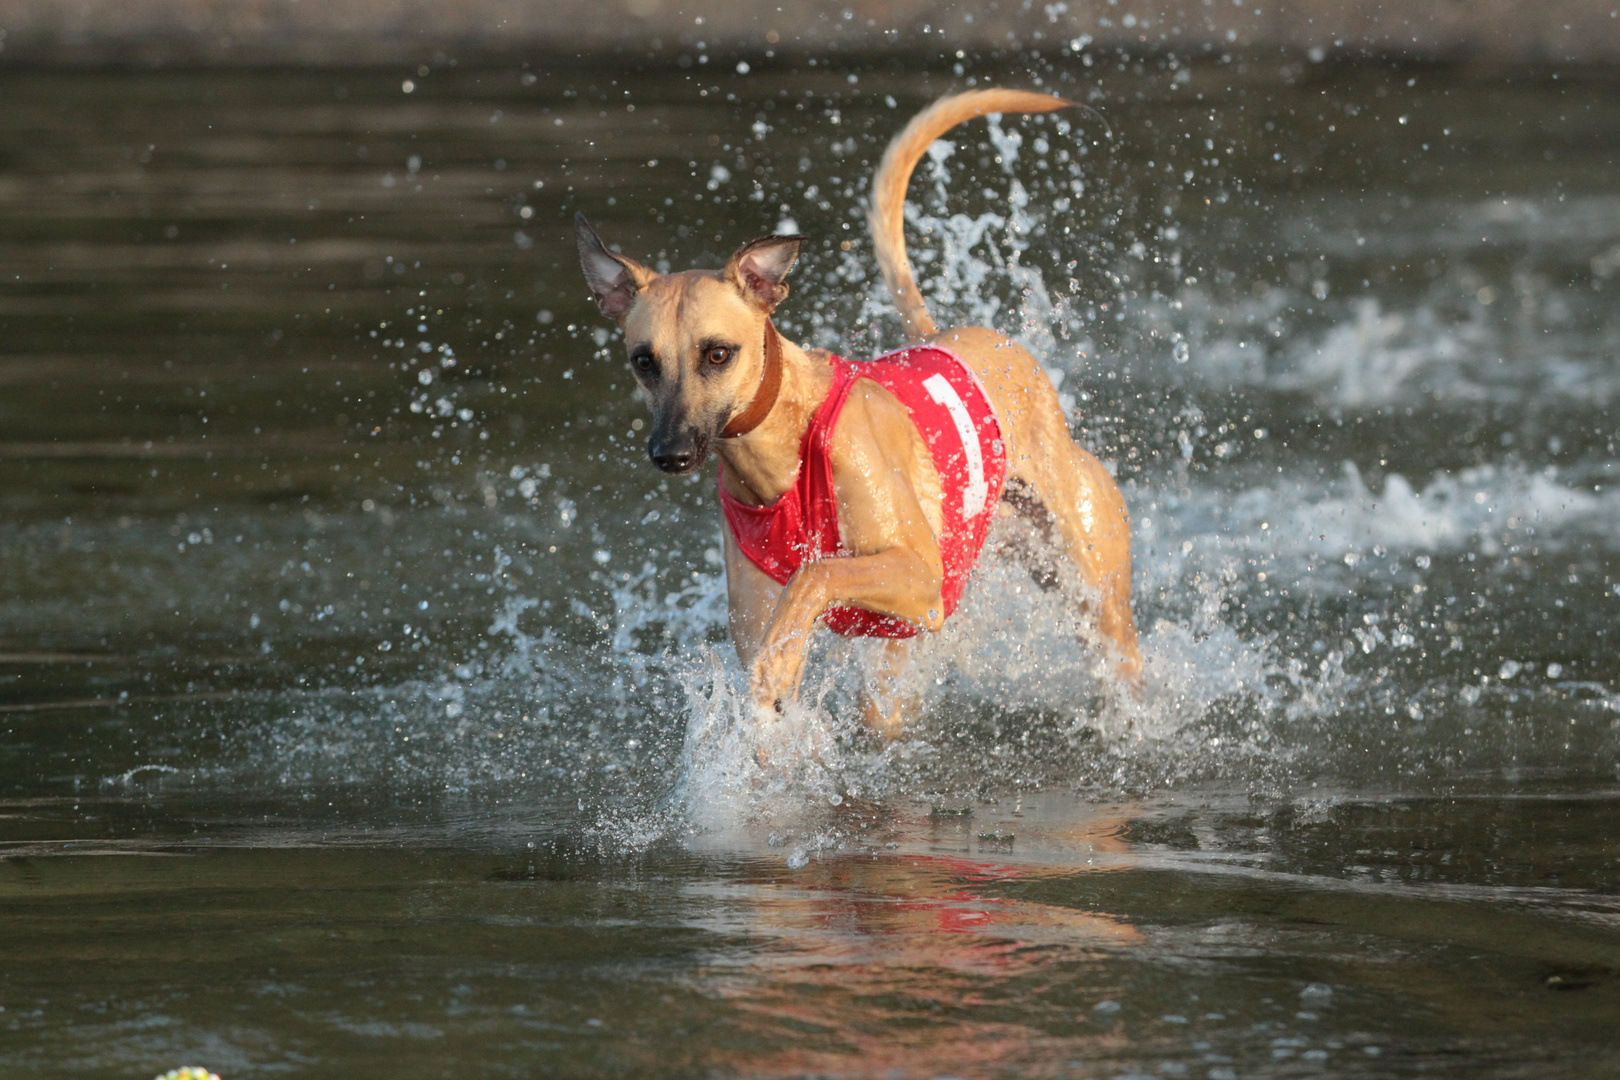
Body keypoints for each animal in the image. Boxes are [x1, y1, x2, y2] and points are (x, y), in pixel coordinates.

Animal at [576, 88, 1146, 738]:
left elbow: (817, 573)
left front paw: (780, 661)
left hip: (1090, 578)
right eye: (643, 361)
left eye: (717, 353)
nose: (669, 453)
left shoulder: (918, 577)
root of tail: (953, 335)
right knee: (883, 705)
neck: (782, 458)